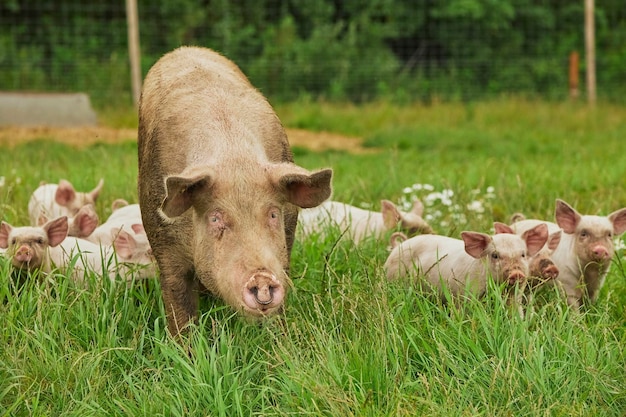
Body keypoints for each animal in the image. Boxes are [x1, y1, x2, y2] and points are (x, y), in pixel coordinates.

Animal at [136, 46, 332, 334]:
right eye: (216, 218)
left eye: (273, 214)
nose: (261, 277)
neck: (234, 157)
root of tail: (185, 49)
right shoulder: (164, 241)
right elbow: (178, 301)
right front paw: (183, 344)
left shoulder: (286, 239)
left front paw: (280, 338)